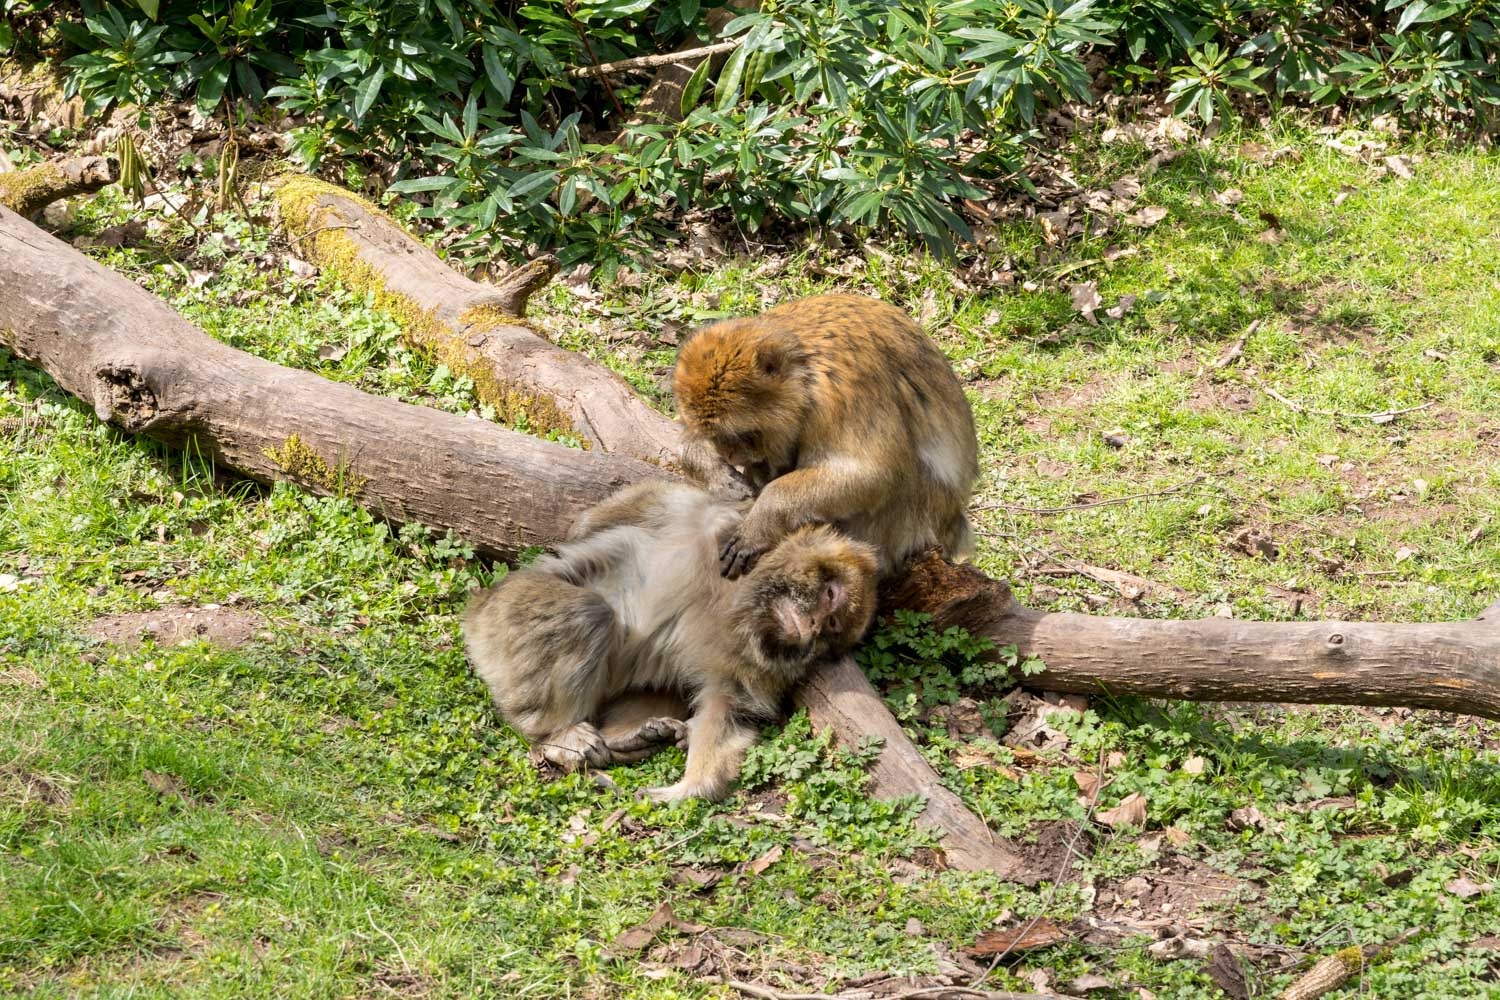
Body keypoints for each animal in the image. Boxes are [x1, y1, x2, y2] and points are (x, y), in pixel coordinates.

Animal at [462, 481, 878, 802]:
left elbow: (725, 707)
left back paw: (628, 739)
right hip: (499, 619)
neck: (737, 602)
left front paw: (689, 788)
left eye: (832, 628)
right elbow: (622, 510)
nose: (814, 628)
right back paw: (557, 735)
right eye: (830, 595)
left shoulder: (754, 660)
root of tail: (474, 612)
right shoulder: (708, 518)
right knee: (587, 612)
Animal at [672, 293, 978, 579]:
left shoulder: (841, 394)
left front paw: (761, 520)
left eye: (744, 434)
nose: (729, 454)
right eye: (715, 437)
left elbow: (872, 474)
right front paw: (718, 476)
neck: (805, 372)